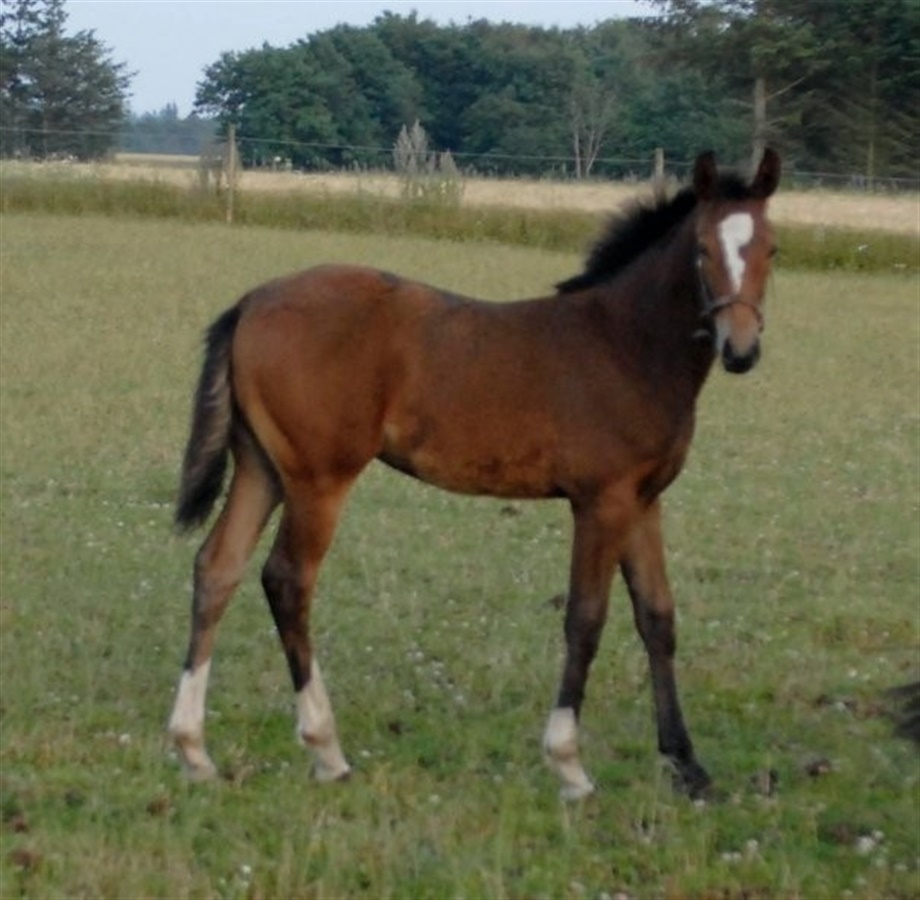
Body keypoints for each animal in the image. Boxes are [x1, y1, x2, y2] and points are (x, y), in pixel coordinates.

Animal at [168, 149, 781, 799]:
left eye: (771, 249)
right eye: (702, 250)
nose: (740, 349)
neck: (626, 345)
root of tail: (252, 301)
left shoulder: (644, 499)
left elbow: (658, 617)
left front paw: (688, 766)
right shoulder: (602, 500)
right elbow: (586, 618)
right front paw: (569, 763)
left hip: (262, 467)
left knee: (217, 568)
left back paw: (193, 749)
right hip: (318, 477)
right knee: (287, 579)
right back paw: (326, 749)